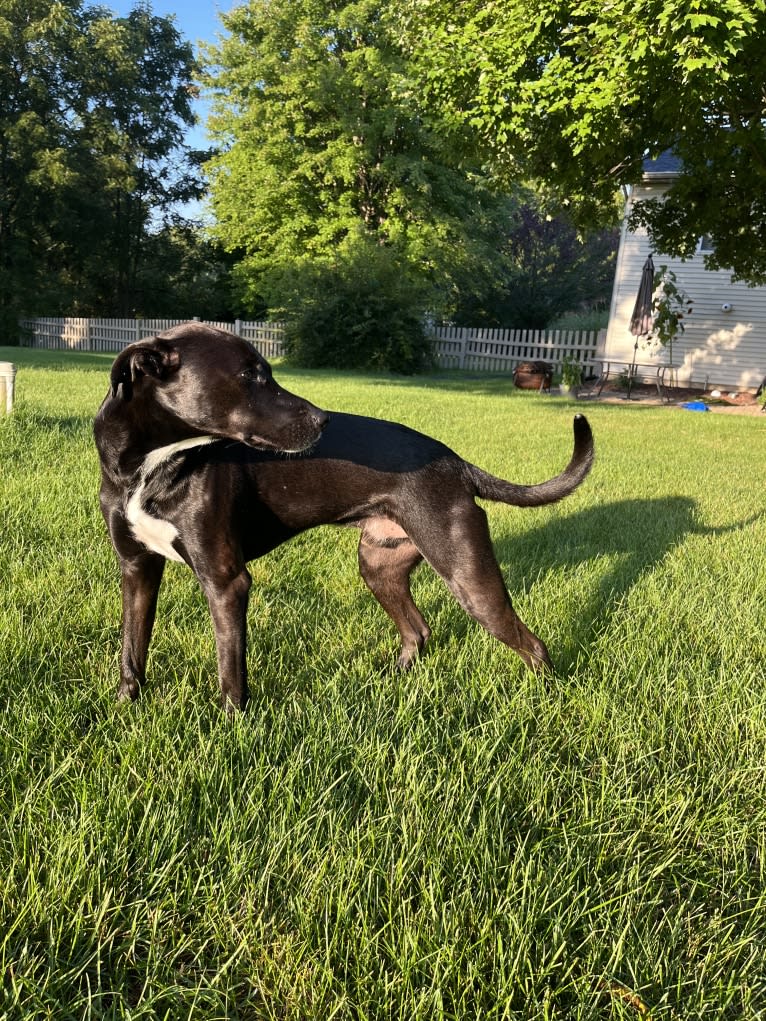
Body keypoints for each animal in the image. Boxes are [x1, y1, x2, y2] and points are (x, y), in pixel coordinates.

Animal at [96, 324, 596, 710]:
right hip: (379, 566)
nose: (323, 421)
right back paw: (392, 680)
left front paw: (232, 728)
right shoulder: (136, 568)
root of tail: (456, 464)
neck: (147, 468)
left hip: (467, 576)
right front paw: (124, 706)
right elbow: (131, 647)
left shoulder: (225, 580)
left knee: (531, 645)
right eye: (248, 376)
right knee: (418, 630)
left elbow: (229, 668)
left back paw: (547, 700)